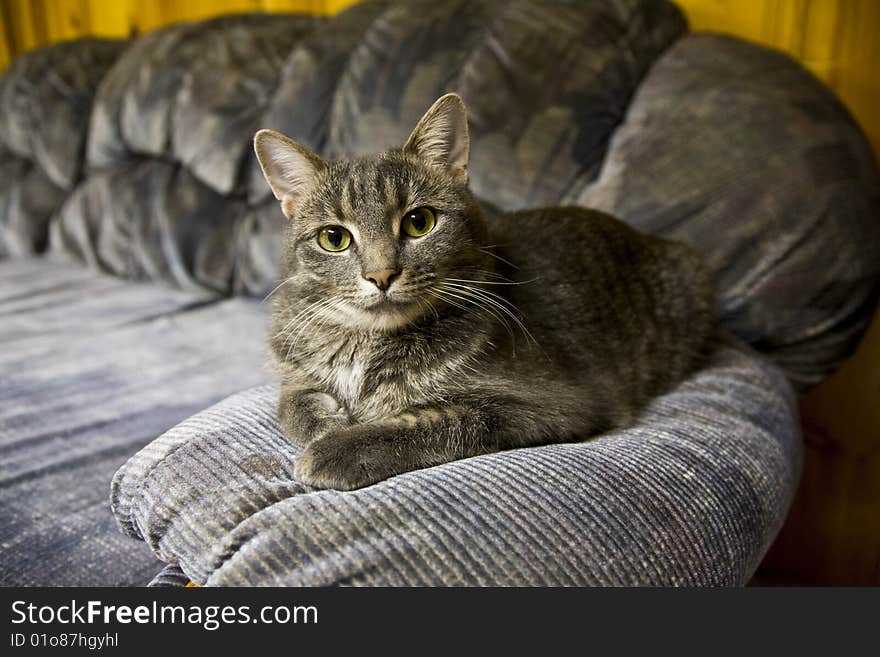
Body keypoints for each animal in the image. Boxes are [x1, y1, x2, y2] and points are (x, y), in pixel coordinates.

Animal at [254, 95, 716, 490]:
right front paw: (326, 423)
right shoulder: (292, 366)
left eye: (419, 222)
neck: (365, 346)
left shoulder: (550, 404)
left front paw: (336, 449)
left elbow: (437, 422)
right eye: (334, 238)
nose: (382, 274)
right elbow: (291, 403)